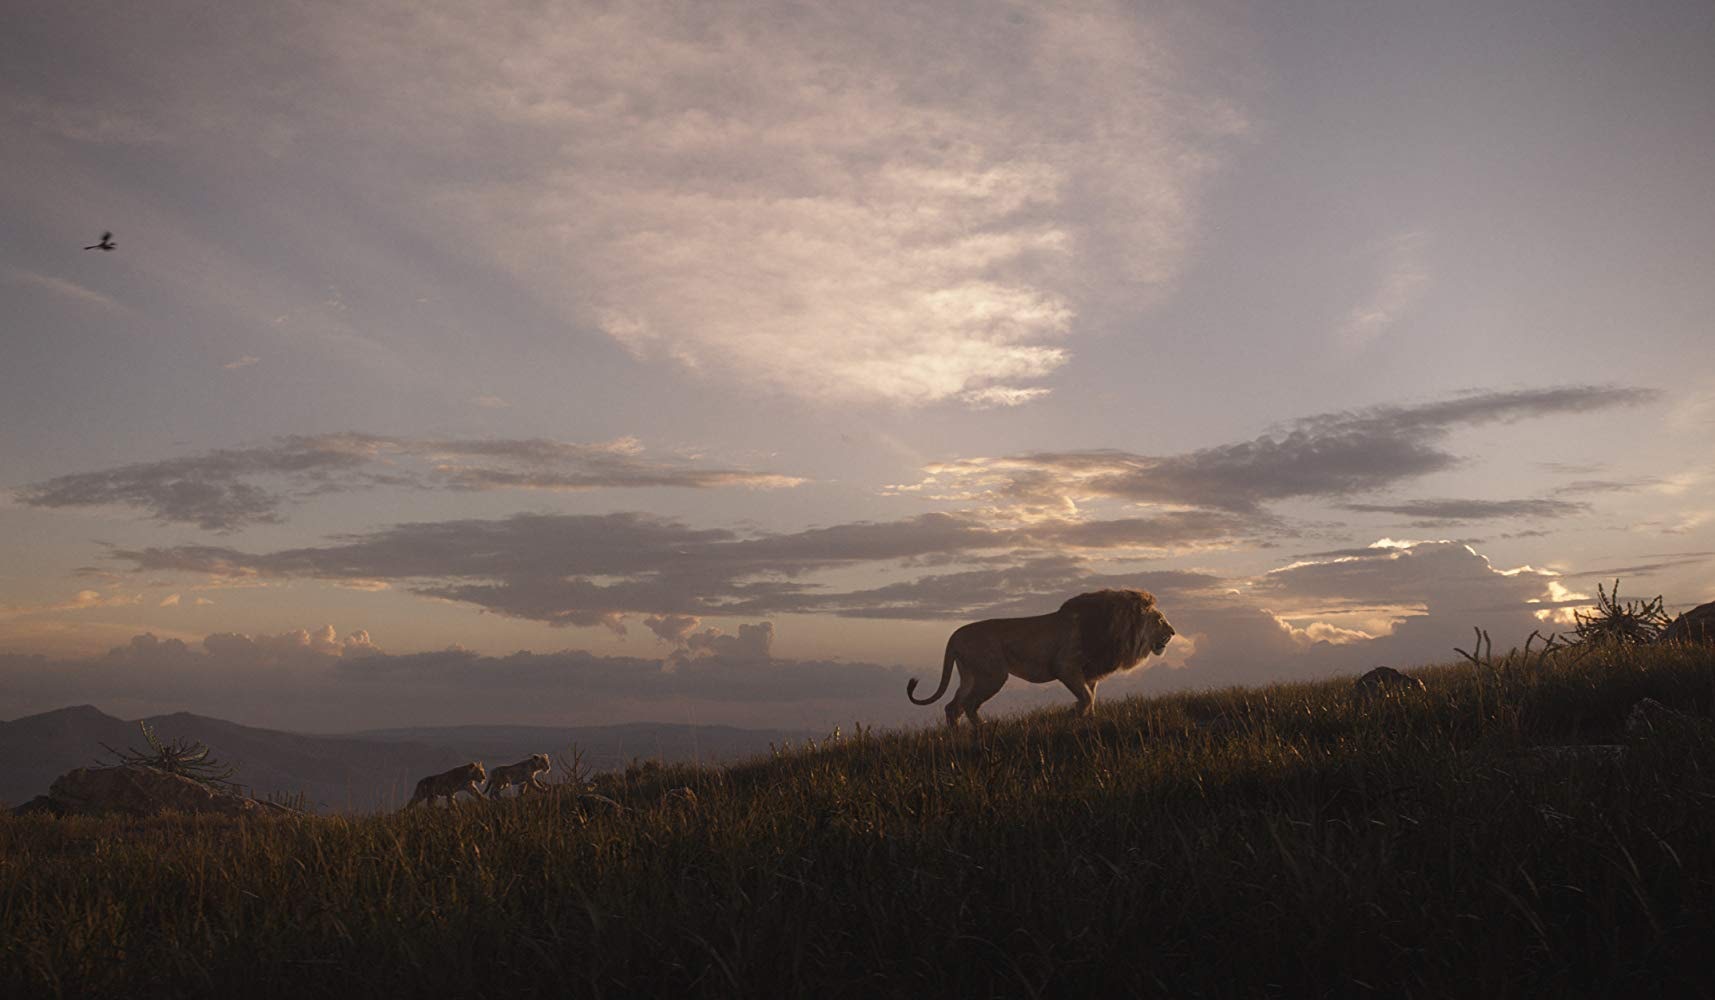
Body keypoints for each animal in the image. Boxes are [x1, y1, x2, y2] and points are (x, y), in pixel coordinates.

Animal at [905, 586, 1173, 727]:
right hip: (993, 675)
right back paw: (983, 732)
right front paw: (1072, 715)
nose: (1172, 632)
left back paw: (957, 738)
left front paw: (1088, 722)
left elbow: (1092, 698)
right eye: (1160, 619)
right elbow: (1086, 697)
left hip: (970, 675)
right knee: (968, 705)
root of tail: (954, 636)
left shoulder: (1090, 673)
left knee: (953, 706)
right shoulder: (1065, 667)